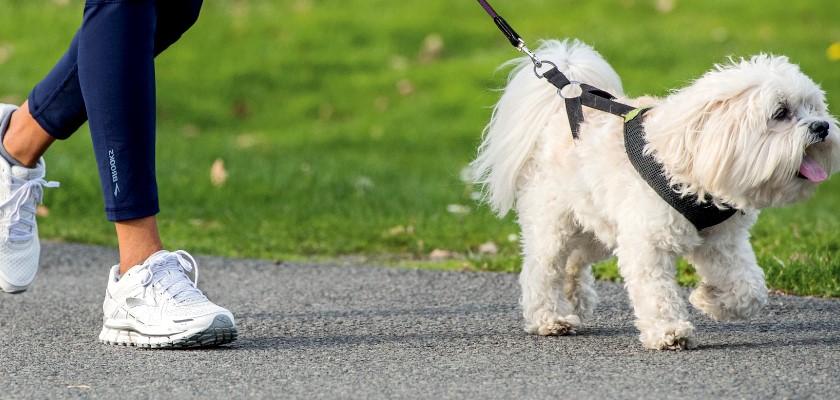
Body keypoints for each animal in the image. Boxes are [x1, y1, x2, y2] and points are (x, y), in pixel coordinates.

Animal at [472, 39, 840, 348]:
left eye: (813, 107)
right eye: (780, 113)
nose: (822, 127)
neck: (690, 155)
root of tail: (559, 107)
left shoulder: (723, 243)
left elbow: (750, 290)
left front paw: (707, 298)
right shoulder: (646, 243)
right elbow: (655, 292)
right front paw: (669, 331)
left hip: (597, 225)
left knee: (575, 261)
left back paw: (576, 300)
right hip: (555, 223)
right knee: (542, 270)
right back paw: (550, 318)